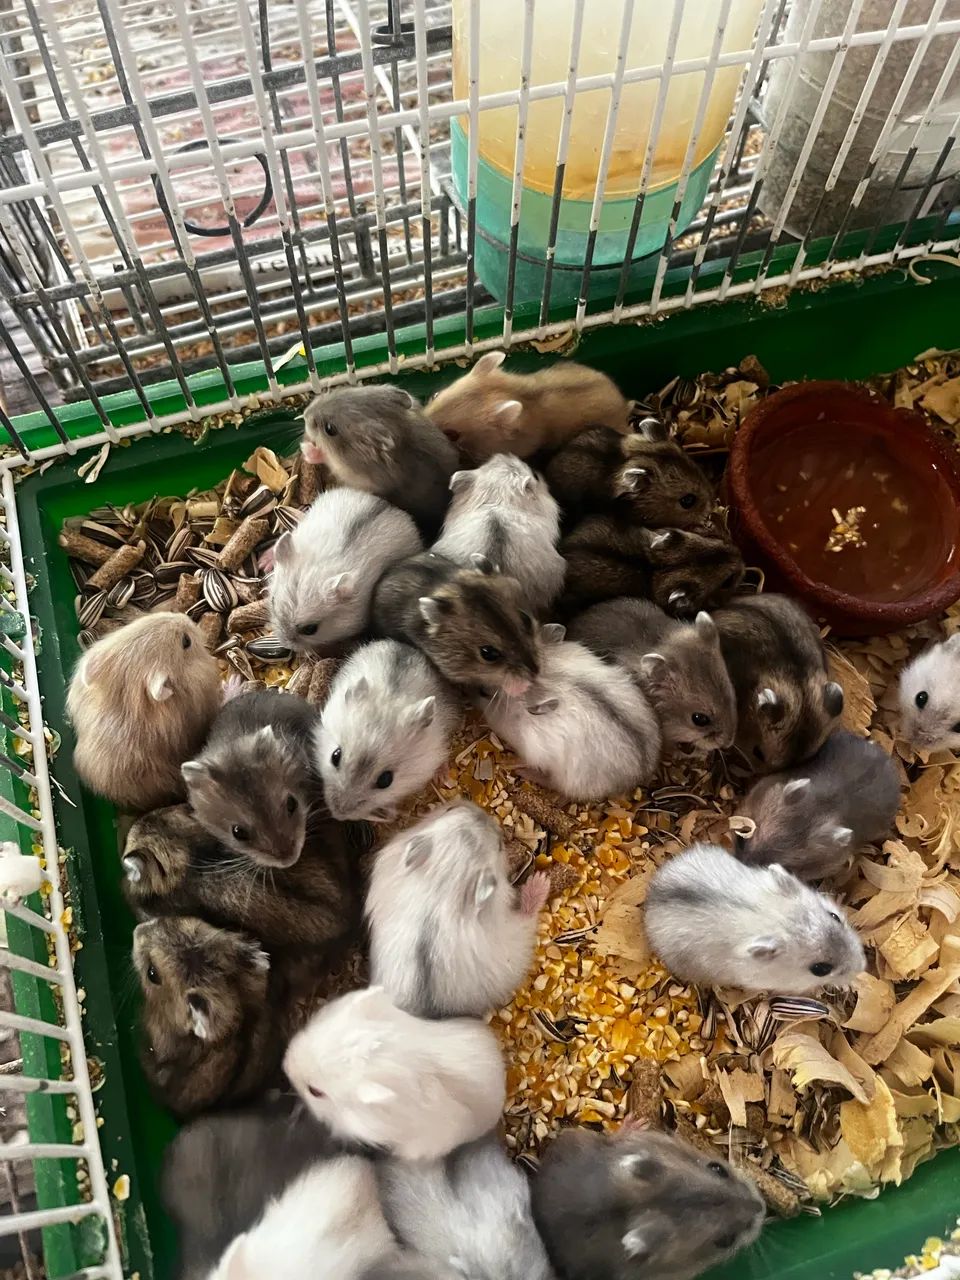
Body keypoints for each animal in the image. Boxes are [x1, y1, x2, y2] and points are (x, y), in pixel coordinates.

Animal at [366, 802, 549, 1017]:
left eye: (449, 809)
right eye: (499, 845)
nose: (485, 815)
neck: (443, 882)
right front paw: (542, 880)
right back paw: (540, 882)